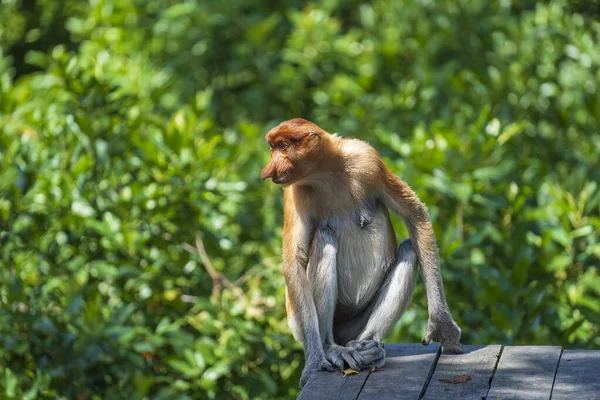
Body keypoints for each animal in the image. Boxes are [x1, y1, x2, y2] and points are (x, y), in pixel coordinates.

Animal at [260, 117, 462, 386]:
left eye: (282, 147)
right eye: (272, 148)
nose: (268, 171)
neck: (325, 173)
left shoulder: (368, 159)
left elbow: (414, 213)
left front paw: (442, 325)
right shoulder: (294, 192)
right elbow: (294, 261)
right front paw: (314, 362)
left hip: (354, 325)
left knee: (410, 249)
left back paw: (368, 346)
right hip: (297, 322)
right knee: (324, 237)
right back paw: (331, 348)